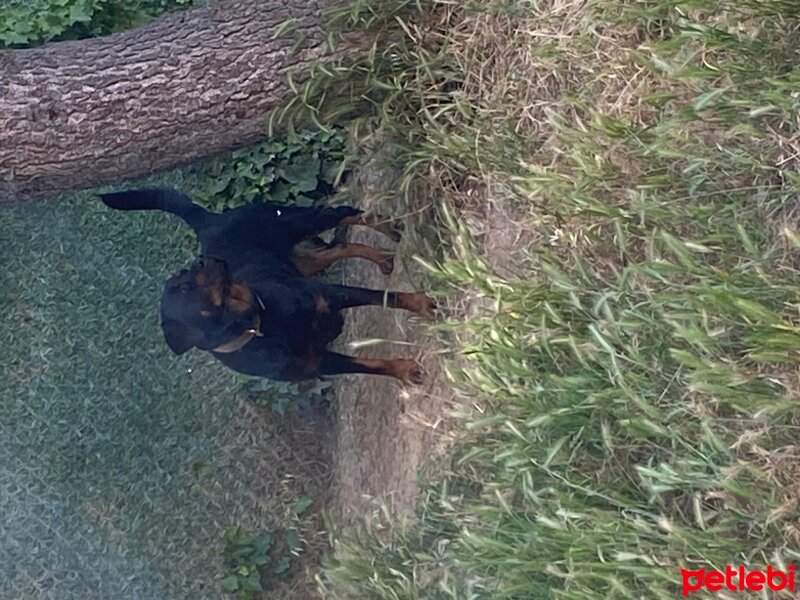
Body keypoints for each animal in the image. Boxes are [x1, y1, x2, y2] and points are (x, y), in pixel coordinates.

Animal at [102, 189, 434, 384]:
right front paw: (404, 371)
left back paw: (388, 228)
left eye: (185, 273)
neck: (261, 323)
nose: (201, 260)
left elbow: (388, 298)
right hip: (301, 260)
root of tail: (208, 220)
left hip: (296, 222)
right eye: (183, 287)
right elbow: (370, 364)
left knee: (345, 212)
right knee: (338, 247)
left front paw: (423, 304)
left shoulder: (331, 295)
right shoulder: (320, 363)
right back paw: (382, 259)